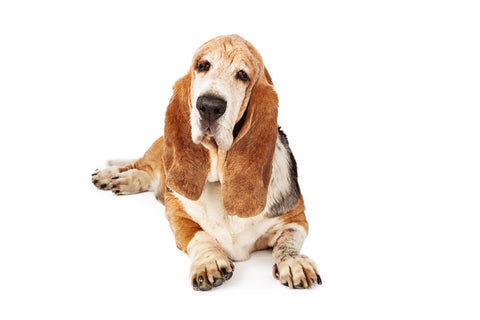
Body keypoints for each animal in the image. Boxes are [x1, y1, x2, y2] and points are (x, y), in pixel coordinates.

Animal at [92, 35, 320, 290]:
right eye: (203, 65)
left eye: (243, 75)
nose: (210, 106)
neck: (219, 179)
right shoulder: (178, 215)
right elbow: (201, 237)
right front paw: (210, 263)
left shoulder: (296, 218)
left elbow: (287, 241)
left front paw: (293, 262)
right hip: (155, 155)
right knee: (140, 167)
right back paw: (111, 176)